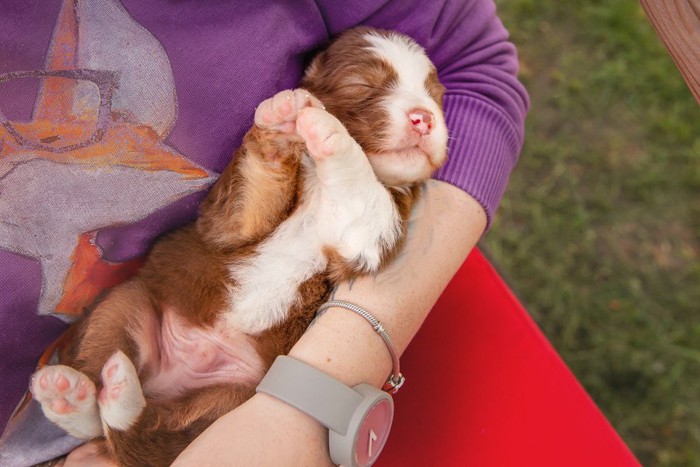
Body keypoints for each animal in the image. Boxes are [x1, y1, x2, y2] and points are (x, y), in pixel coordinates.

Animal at [30, 27, 446, 466]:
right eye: (362, 85)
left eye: (434, 96)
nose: (425, 118)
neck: (318, 186)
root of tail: (167, 382)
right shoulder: (235, 220)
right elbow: (258, 182)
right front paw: (283, 114)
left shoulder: (370, 228)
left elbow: (358, 184)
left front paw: (326, 127)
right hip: (123, 305)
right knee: (102, 397)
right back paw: (69, 394)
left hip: (227, 399)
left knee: (141, 431)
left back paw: (107, 398)